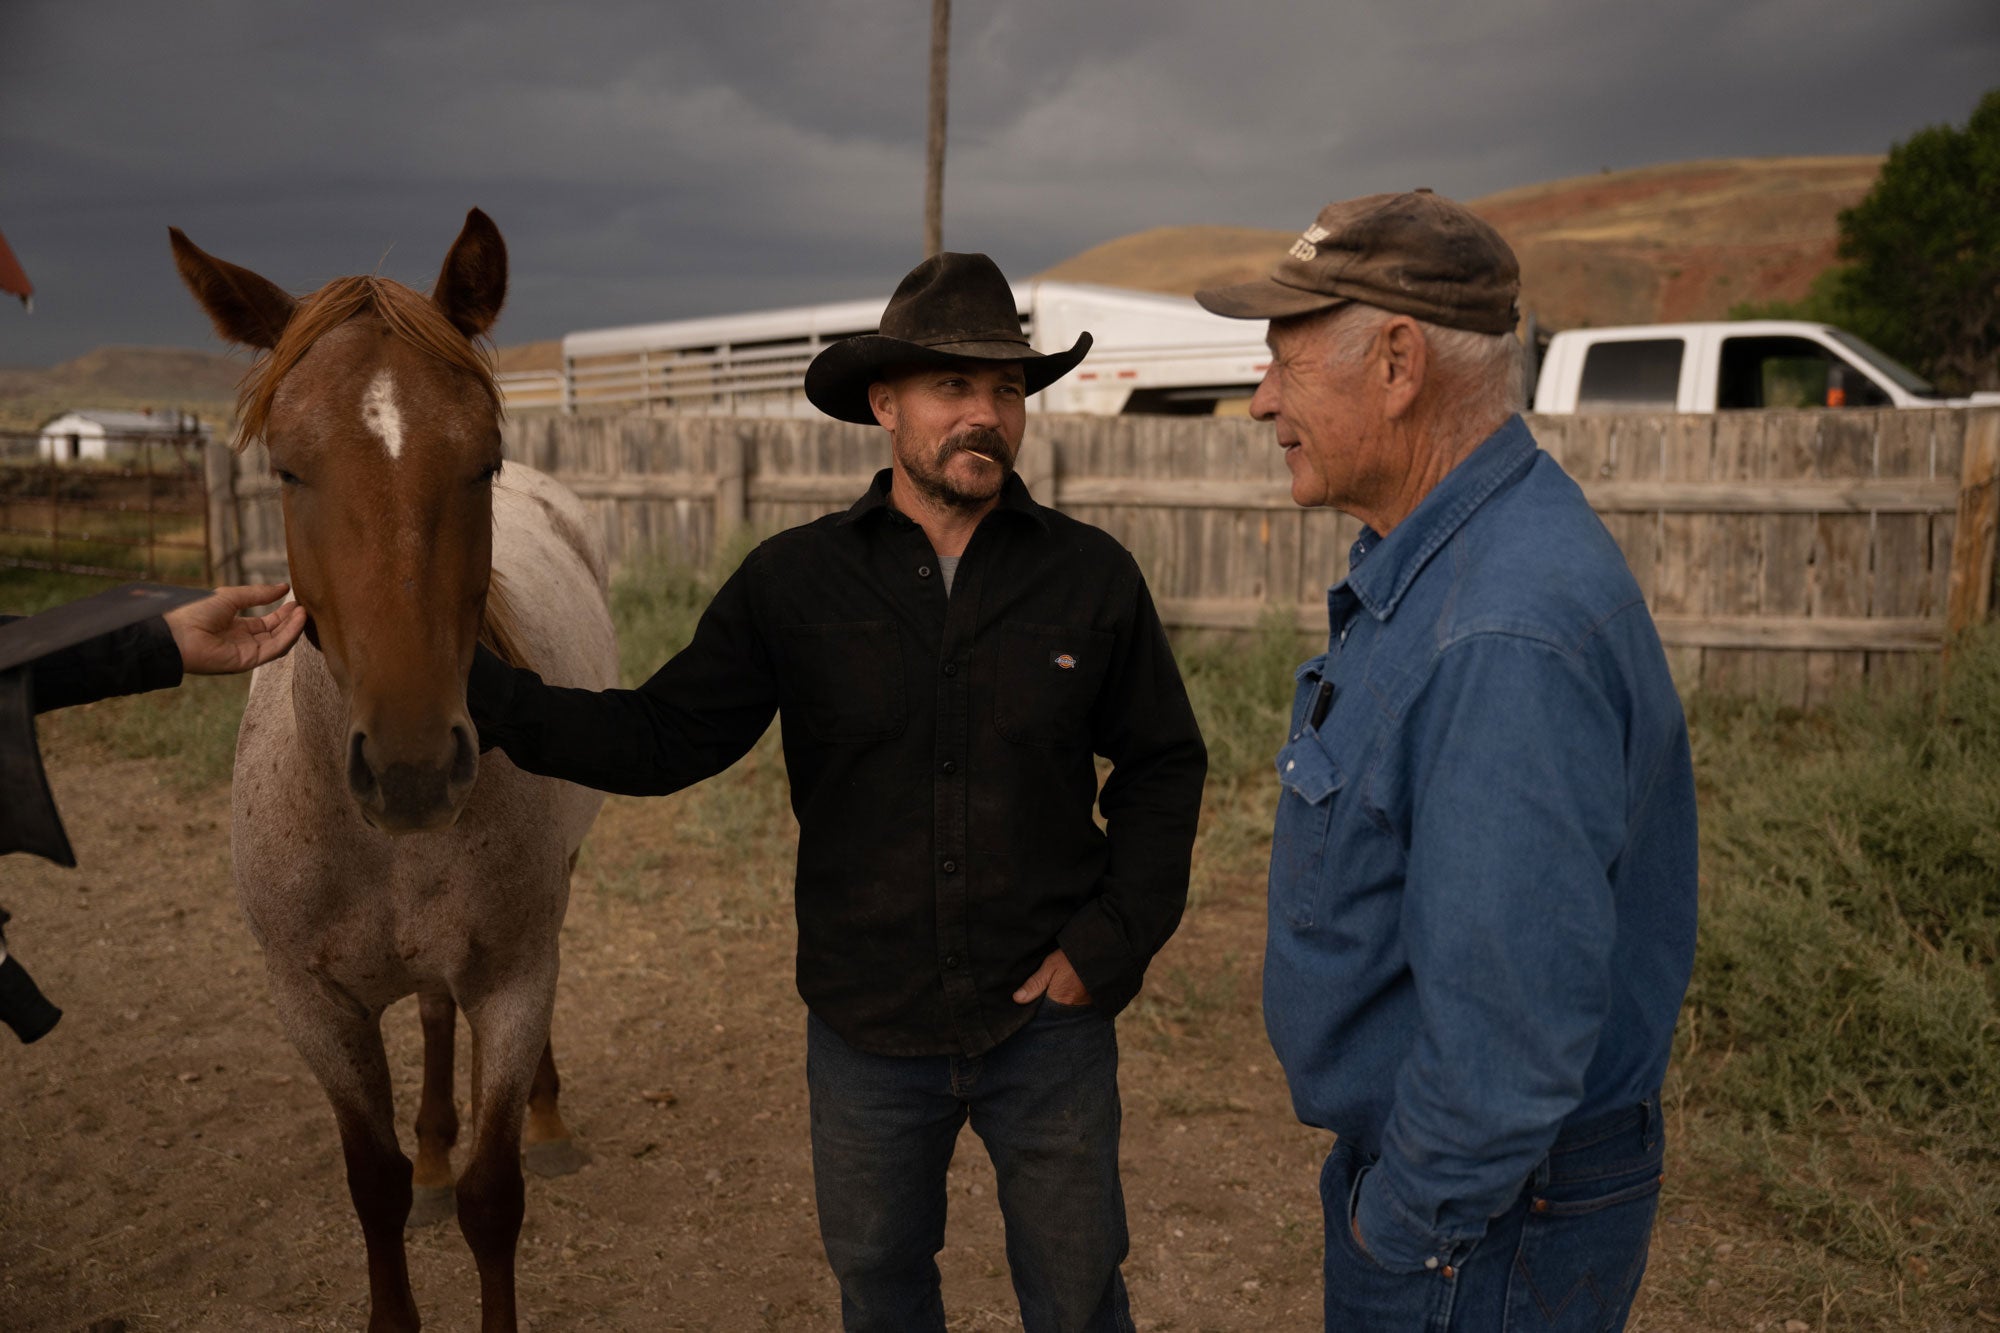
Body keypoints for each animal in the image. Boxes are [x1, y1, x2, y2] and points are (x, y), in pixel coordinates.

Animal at [176, 208, 620, 1328]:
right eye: (288, 468)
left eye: (485, 461)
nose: (415, 767)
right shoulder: (313, 1005)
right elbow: (369, 1185)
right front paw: (409, 1181)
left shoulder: (514, 978)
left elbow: (494, 1198)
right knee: (427, 1011)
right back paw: (429, 1152)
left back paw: (547, 1120)